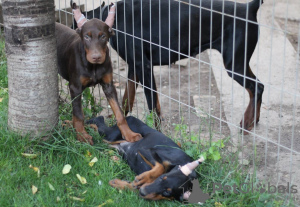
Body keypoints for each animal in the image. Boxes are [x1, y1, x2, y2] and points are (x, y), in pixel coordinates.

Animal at [55, 3, 142, 146]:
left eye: (103, 36)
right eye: (86, 36)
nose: (96, 57)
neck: (93, 66)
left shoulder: (109, 86)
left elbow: (119, 113)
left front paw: (129, 134)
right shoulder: (75, 88)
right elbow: (78, 114)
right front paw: (82, 135)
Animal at [72, 0, 264, 133]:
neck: (111, 19)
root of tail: (249, 8)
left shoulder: (144, 66)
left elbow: (152, 104)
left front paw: (156, 132)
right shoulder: (135, 66)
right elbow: (128, 98)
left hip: (235, 63)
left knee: (257, 87)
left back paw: (247, 122)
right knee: (257, 87)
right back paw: (253, 119)